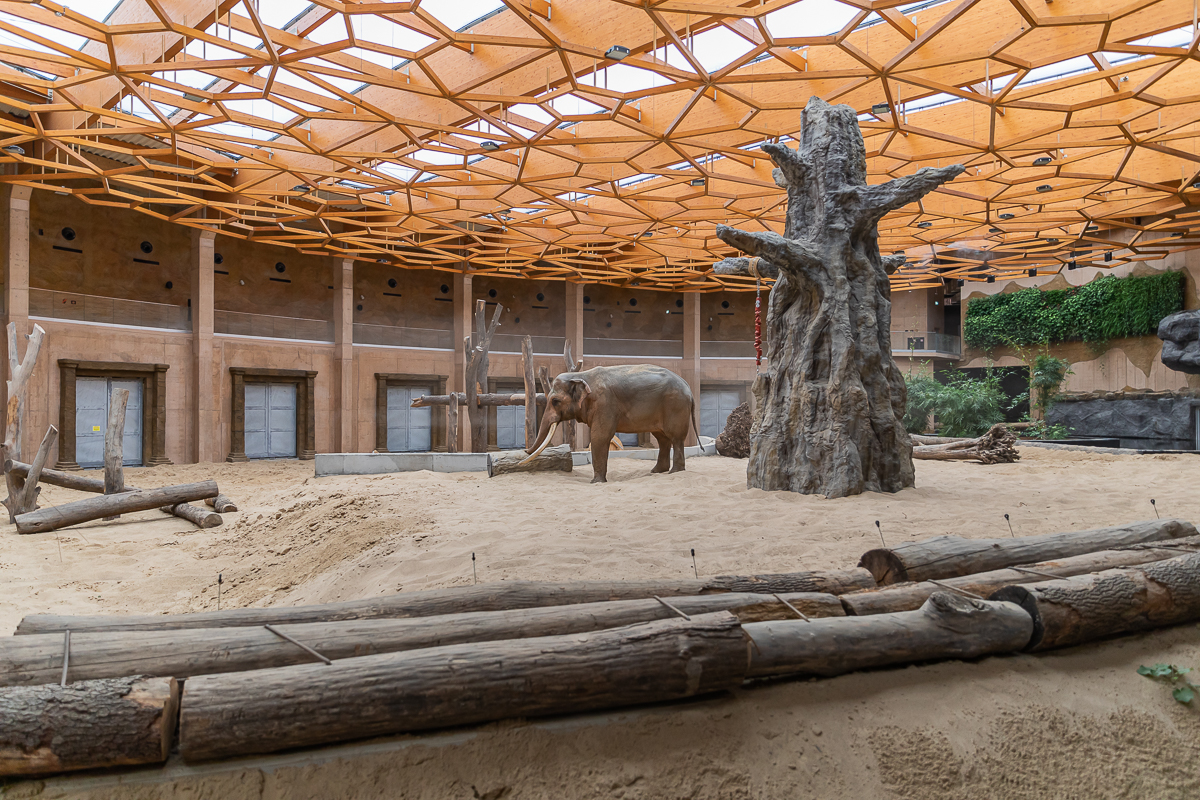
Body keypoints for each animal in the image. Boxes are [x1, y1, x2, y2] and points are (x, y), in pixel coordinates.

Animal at [520, 367, 700, 484]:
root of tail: (688, 388)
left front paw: (596, 482)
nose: (525, 451)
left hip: (676, 406)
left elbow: (599, 437)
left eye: (555, 401)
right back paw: (656, 472)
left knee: (676, 438)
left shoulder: (604, 403)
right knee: (662, 438)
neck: (581, 375)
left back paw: (675, 472)